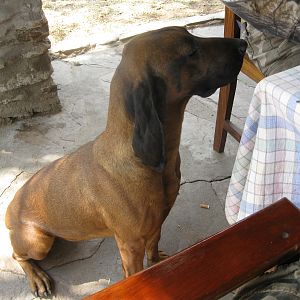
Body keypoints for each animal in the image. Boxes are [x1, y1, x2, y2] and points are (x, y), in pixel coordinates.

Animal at [4, 26, 246, 298]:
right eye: (191, 51)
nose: (243, 44)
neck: (152, 166)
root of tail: (10, 208)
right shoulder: (131, 245)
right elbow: (136, 273)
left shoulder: (156, 224)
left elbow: (154, 247)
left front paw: (158, 261)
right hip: (38, 243)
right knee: (18, 256)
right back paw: (37, 277)